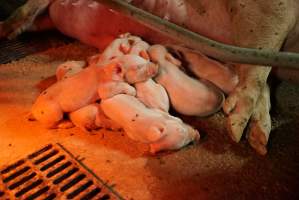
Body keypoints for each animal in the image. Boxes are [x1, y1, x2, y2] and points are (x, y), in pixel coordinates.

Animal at [29, 34, 239, 153]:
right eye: (139, 66)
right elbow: (114, 89)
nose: (197, 135)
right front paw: (131, 89)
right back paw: (64, 124)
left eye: (133, 38)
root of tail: (33, 110)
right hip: (53, 113)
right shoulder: (106, 88)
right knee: (52, 124)